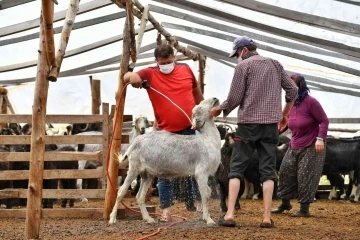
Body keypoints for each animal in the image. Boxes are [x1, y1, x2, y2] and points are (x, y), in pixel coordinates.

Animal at [109, 97, 222, 225]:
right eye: (201, 105)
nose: (215, 99)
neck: (207, 138)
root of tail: (134, 142)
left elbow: (207, 192)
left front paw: (205, 217)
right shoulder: (201, 173)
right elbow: (205, 195)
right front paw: (209, 220)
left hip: (146, 174)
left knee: (140, 196)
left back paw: (148, 219)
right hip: (134, 168)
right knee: (121, 192)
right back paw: (112, 218)